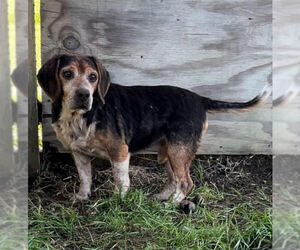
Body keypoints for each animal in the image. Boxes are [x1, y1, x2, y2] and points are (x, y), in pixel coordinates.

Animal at [37, 53, 270, 204]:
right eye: (67, 74)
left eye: (93, 77)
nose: (84, 94)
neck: (81, 117)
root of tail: (199, 99)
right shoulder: (78, 152)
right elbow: (85, 178)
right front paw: (81, 197)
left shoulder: (119, 152)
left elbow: (121, 180)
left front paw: (117, 201)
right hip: (169, 152)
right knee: (174, 179)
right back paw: (162, 197)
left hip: (178, 150)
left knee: (186, 182)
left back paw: (172, 203)